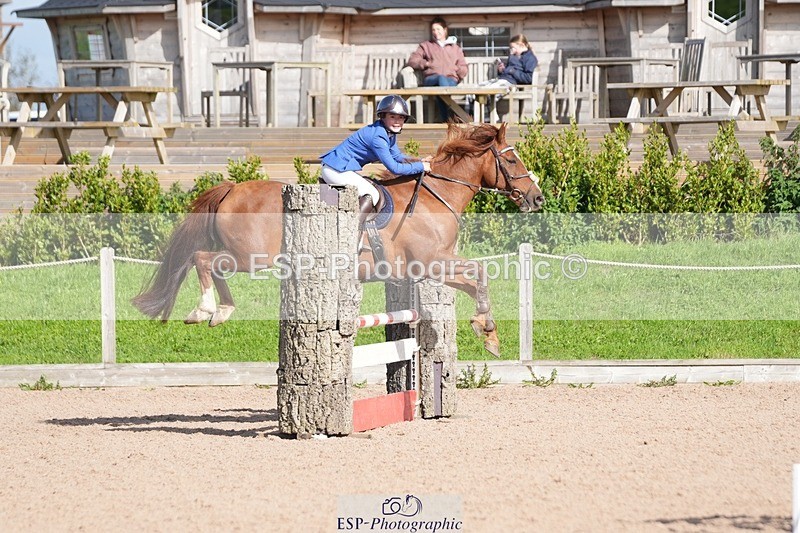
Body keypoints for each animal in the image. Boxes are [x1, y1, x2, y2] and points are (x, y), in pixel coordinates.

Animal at [132, 123, 544, 356]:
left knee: (209, 263)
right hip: (251, 256)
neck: (434, 198)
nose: (537, 198)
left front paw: (488, 335)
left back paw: (221, 311)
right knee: (204, 259)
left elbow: (476, 281)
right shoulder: (431, 262)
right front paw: (485, 329)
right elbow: (481, 275)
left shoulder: (429, 268)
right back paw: (206, 310)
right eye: (512, 161)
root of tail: (233, 188)